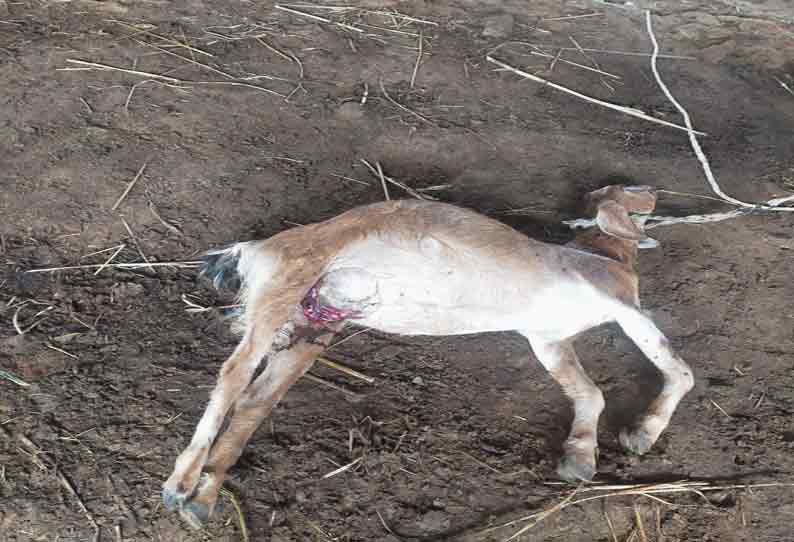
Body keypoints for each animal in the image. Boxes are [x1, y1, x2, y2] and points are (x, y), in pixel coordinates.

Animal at [162, 185, 692, 528]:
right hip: (286, 286)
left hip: (311, 332)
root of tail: (254, 249)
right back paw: (180, 483)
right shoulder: (617, 307)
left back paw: (203, 499)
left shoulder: (547, 338)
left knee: (253, 404)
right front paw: (641, 432)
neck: (604, 256)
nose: (654, 199)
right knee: (233, 375)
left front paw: (580, 458)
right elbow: (678, 370)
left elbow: (591, 392)